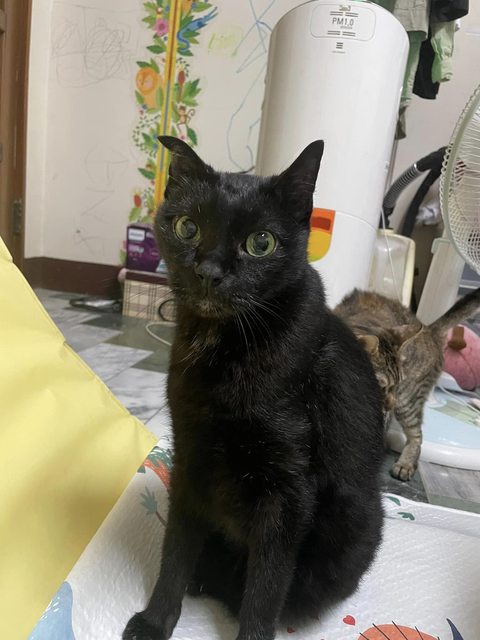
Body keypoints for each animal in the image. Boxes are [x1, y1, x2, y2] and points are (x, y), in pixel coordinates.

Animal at [123, 136, 385, 640]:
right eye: (187, 227)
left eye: (260, 243)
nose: (209, 270)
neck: (222, 348)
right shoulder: (190, 456)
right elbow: (175, 550)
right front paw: (156, 620)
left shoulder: (288, 493)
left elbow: (266, 588)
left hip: (352, 528)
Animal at [334, 287, 480, 481]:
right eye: (382, 386)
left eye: (395, 386)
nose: (390, 405)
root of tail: (429, 329)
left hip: (408, 402)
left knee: (417, 435)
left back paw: (405, 464)